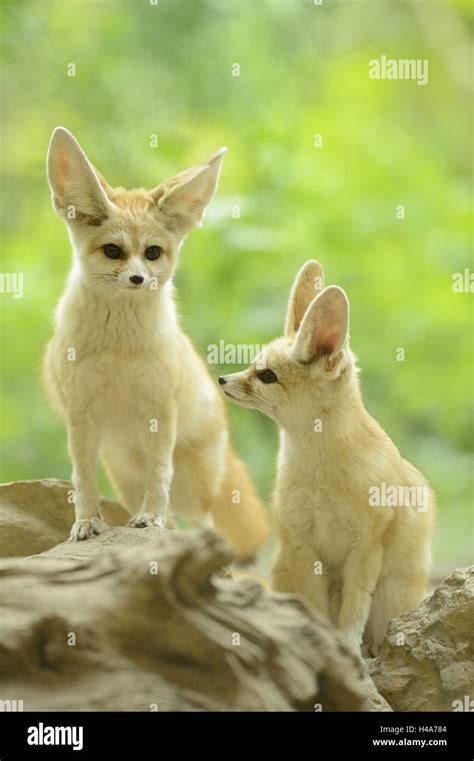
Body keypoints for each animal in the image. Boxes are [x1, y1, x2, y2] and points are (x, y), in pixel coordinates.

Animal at [44, 126, 268, 560]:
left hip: (195, 484)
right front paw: (86, 522)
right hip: (123, 473)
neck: (118, 347)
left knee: (202, 521)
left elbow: (159, 477)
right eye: (113, 251)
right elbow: (82, 480)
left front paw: (150, 520)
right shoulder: (80, 414)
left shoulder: (160, 410)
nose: (137, 279)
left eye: (152, 253)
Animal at [218, 262, 434, 652]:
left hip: (392, 594)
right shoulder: (300, 545)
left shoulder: (365, 549)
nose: (222, 379)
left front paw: (347, 649)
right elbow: (316, 609)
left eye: (266, 375)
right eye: (253, 366)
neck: (320, 474)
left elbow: (354, 610)